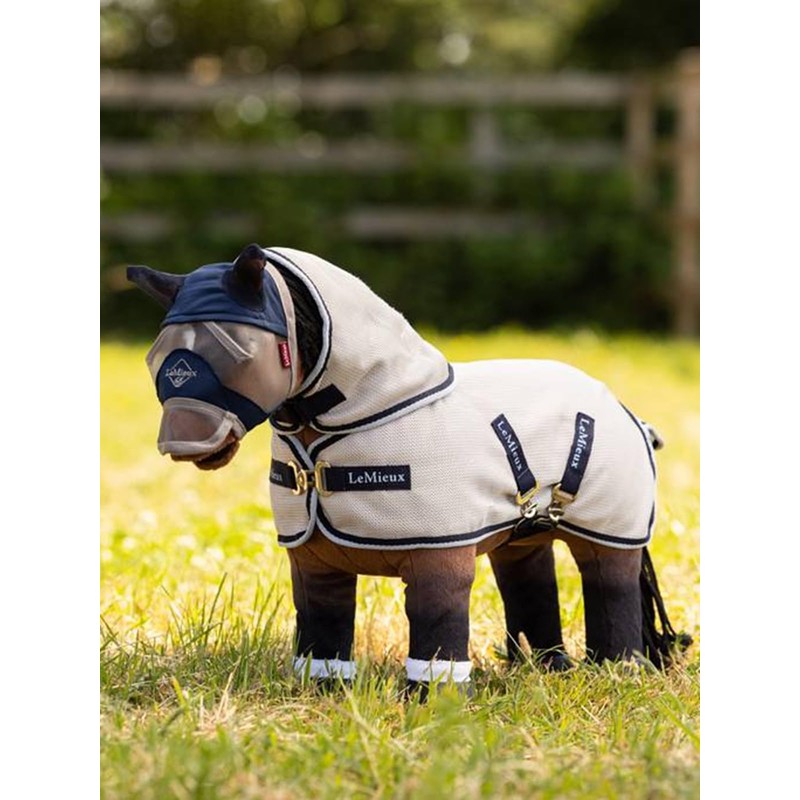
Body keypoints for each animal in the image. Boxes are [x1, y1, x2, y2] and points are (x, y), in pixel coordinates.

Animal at [128, 243, 690, 696]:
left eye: (238, 352)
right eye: (157, 357)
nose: (183, 442)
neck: (375, 412)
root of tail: (620, 406)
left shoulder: (438, 559)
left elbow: (436, 627)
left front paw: (432, 701)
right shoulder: (315, 562)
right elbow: (323, 624)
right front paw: (323, 690)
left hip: (609, 534)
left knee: (610, 589)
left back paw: (616, 671)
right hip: (523, 536)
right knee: (531, 585)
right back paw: (548, 669)